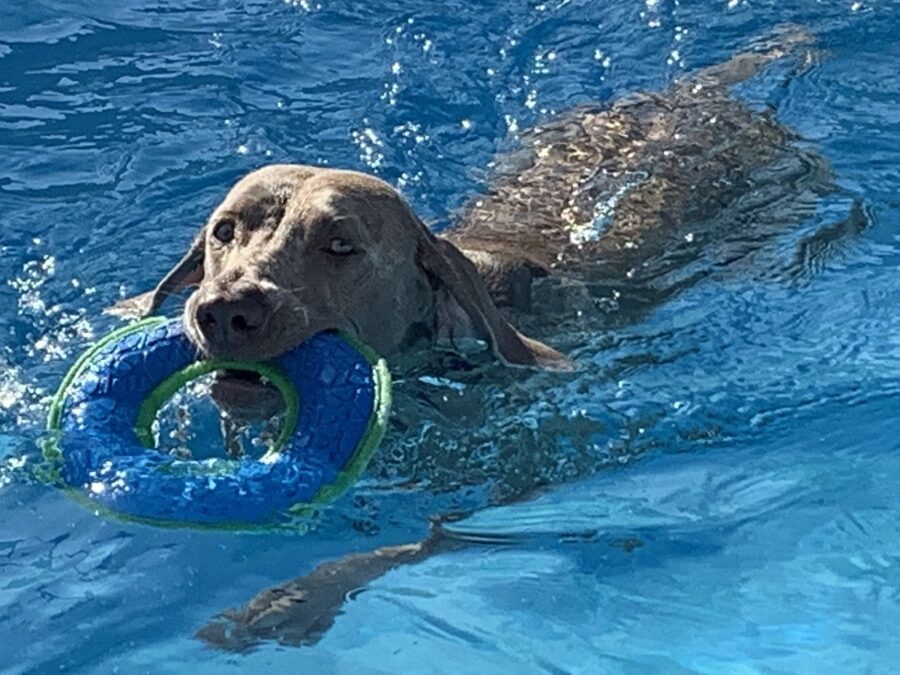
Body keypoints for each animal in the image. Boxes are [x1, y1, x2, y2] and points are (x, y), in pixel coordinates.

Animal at [112, 30, 856, 648]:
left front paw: (293, 595)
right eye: (224, 231)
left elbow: (414, 544)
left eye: (340, 244)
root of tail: (696, 94)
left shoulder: (504, 491)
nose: (224, 310)